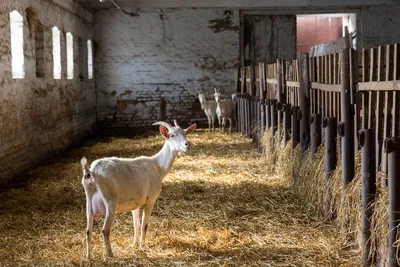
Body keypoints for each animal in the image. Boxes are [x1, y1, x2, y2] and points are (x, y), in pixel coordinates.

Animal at [79, 121, 195, 260]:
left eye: (185, 133)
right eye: (172, 135)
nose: (187, 144)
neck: (157, 166)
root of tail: (91, 172)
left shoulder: (136, 204)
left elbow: (136, 225)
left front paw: (134, 244)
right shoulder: (150, 200)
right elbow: (144, 225)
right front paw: (142, 246)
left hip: (89, 200)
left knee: (88, 230)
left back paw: (88, 256)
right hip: (110, 200)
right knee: (105, 230)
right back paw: (110, 255)